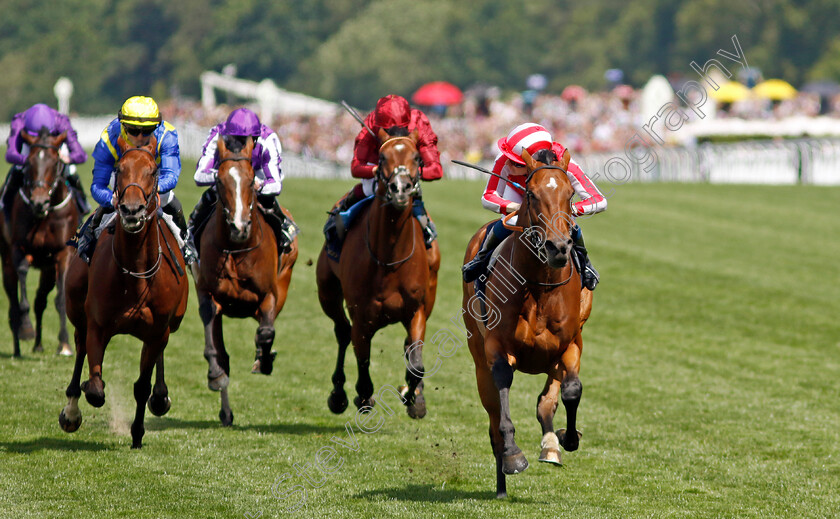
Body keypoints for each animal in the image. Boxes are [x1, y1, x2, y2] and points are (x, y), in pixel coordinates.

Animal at [0, 128, 79, 360]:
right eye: (30, 163)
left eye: (55, 162)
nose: (38, 202)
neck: (44, 216)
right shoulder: (19, 248)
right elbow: (22, 285)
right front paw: (26, 329)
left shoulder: (63, 253)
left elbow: (60, 298)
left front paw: (64, 344)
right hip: (6, 262)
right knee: (13, 304)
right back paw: (18, 347)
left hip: (47, 271)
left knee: (40, 302)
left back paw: (38, 345)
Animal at [59, 136, 189, 448]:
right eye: (119, 168)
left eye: (154, 171)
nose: (131, 210)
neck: (136, 273)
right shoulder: (98, 324)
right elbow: (95, 388)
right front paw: (84, 393)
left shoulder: (156, 331)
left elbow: (142, 386)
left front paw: (138, 433)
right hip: (76, 308)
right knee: (79, 346)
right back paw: (71, 411)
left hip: (173, 323)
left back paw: (161, 396)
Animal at [192, 134, 296, 426]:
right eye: (219, 181)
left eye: (251, 181)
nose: (239, 227)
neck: (237, 248)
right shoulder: (207, 293)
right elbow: (214, 348)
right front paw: (215, 376)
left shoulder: (270, 295)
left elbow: (266, 332)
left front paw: (265, 360)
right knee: (224, 354)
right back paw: (226, 411)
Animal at [316, 128, 446, 420]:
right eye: (382, 156)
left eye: (417, 157)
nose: (400, 189)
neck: (389, 259)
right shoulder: (362, 316)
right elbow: (363, 359)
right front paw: (363, 396)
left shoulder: (417, 309)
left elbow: (416, 362)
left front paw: (413, 397)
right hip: (327, 292)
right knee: (342, 331)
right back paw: (338, 394)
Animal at [462, 147, 592, 500]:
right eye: (531, 194)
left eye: (570, 193)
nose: (558, 247)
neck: (540, 287)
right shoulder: (496, 348)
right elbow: (503, 396)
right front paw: (513, 455)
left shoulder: (571, 344)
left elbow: (571, 390)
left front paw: (567, 438)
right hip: (477, 355)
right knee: (493, 415)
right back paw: (501, 483)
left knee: (547, 399)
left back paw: (551, 444)